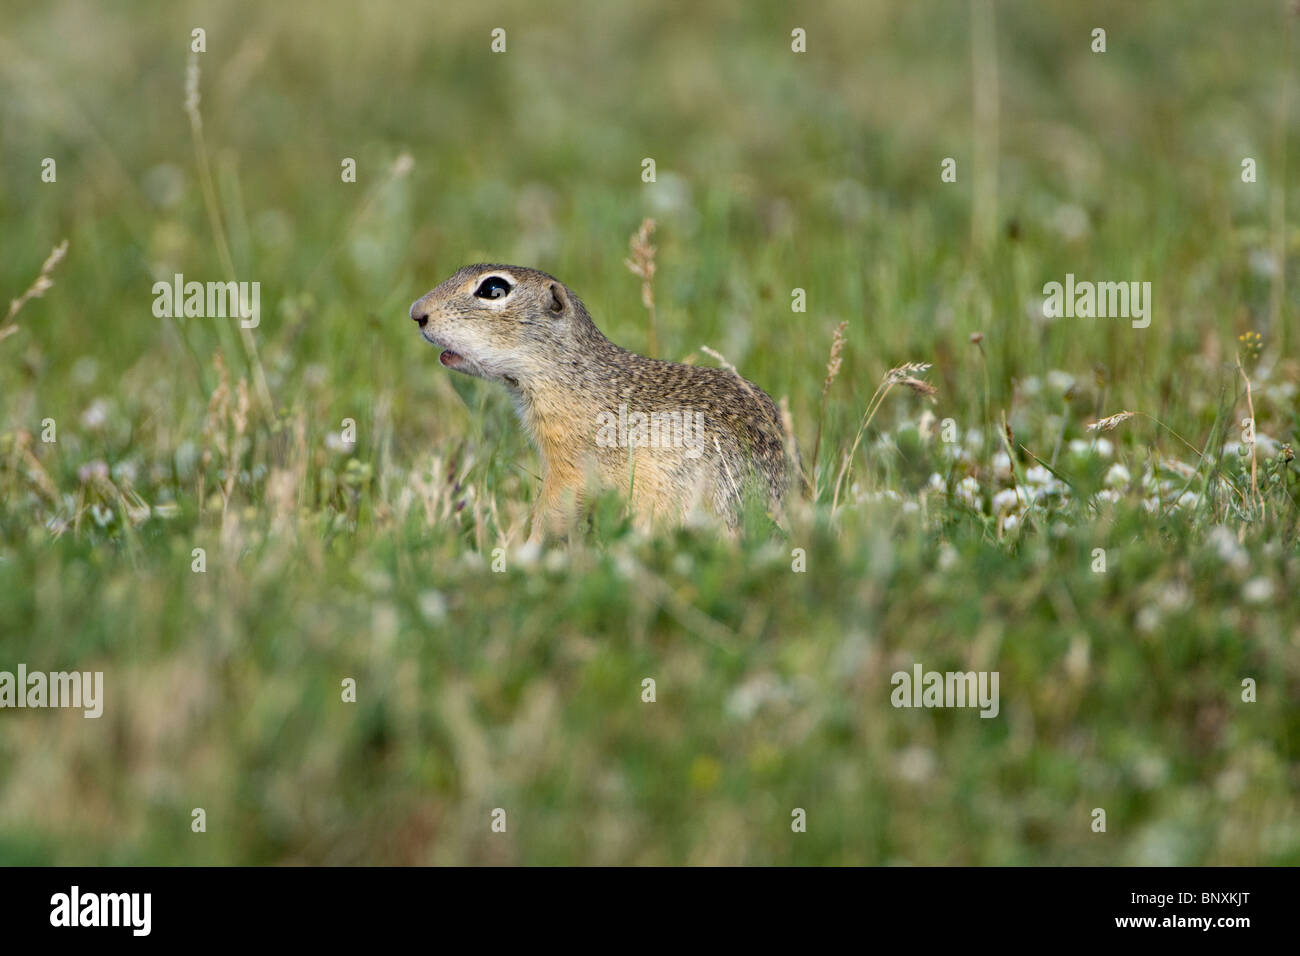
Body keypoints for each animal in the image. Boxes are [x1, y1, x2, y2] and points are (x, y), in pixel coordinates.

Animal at [405, 265, 790, 541]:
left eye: (493, 289)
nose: (416, 312)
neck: (568, 373)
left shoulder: (572, 460)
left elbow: (556, 505)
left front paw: (526, 545)